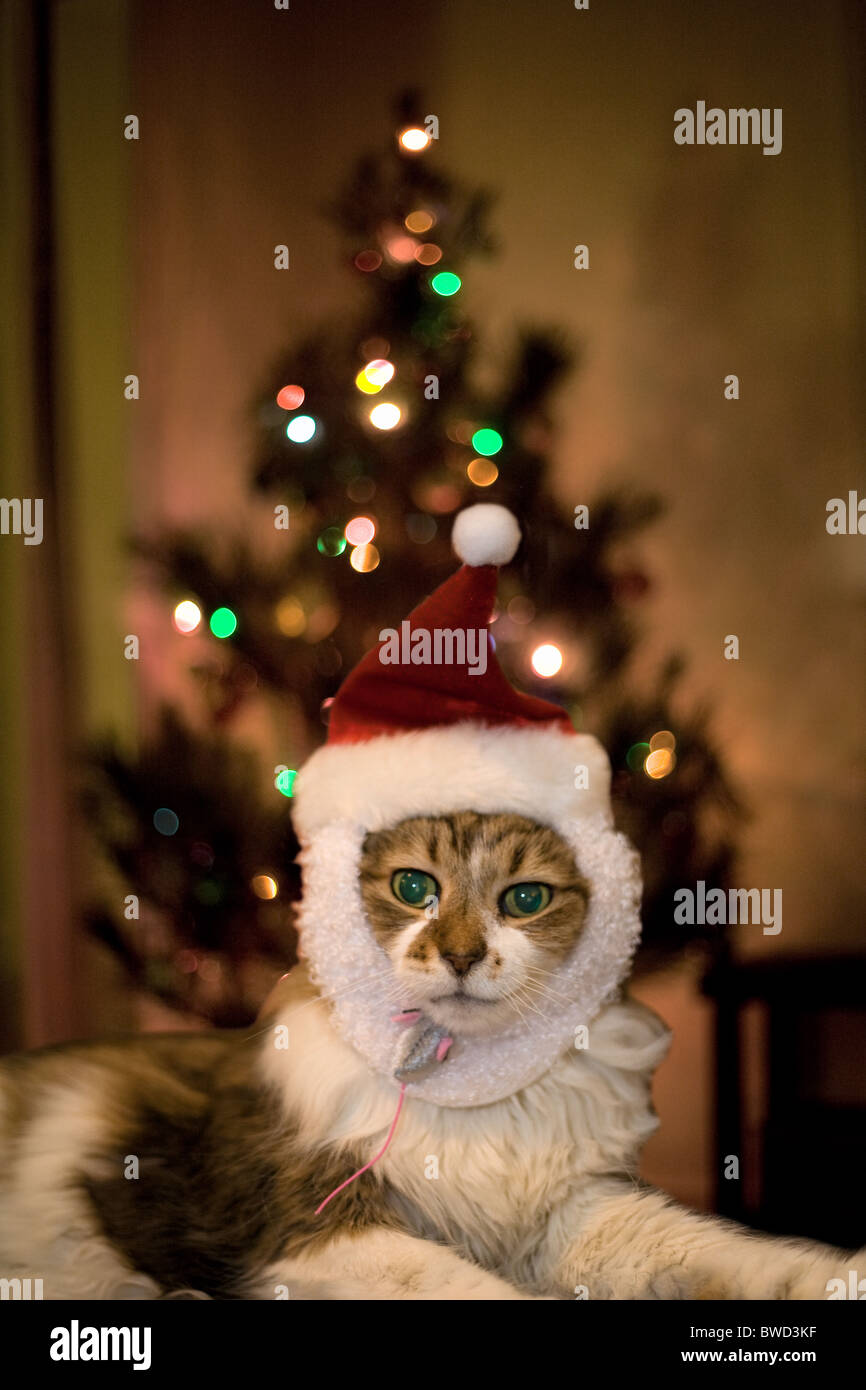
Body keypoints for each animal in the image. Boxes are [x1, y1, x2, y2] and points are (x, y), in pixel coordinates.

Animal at [0, 806, 861, 1301]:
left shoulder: (571, 1213)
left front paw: (832, 1275)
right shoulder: (314, 1229)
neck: (473, 1084)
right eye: (414, 889)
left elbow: (725, 1250)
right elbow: (473, 1290)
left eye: (525, 900)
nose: (460, 955)